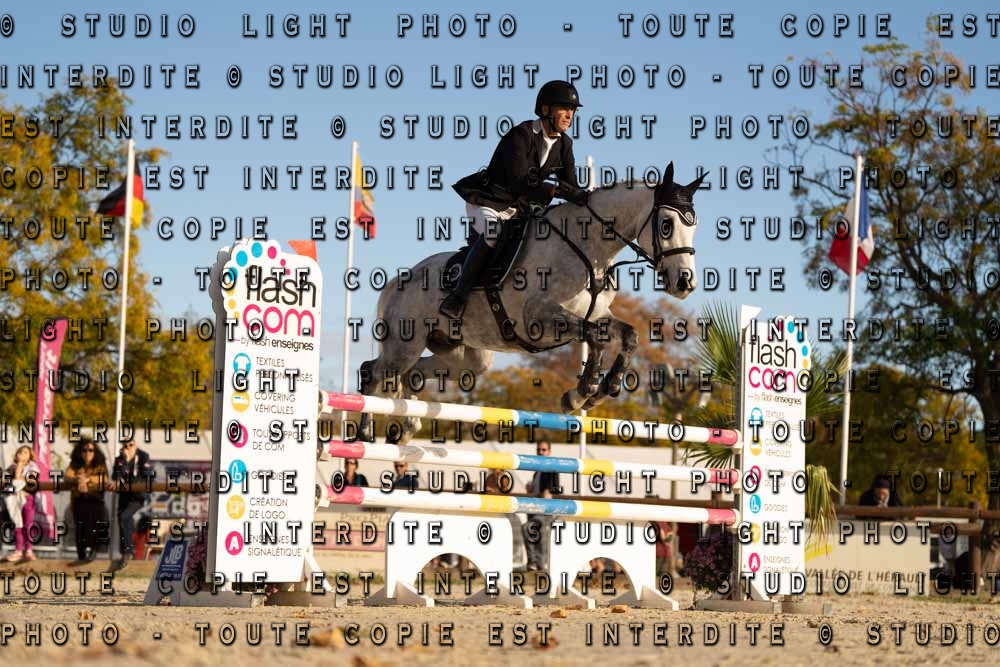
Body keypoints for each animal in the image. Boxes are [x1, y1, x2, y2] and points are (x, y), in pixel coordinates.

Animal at [357, 162, 706, 444]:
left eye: (694, 226)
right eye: (666, 224)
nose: (685, 284)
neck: (589, 248)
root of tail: (399, 281)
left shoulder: (597, 314)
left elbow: (627, 336)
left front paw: (599, 392)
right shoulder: (540, 318)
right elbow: (596, 338)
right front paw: (581, 394)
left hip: (464, 356)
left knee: (413, 374)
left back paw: (408, 426)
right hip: (404, 345)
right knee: (374, 372)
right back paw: (364, 433)